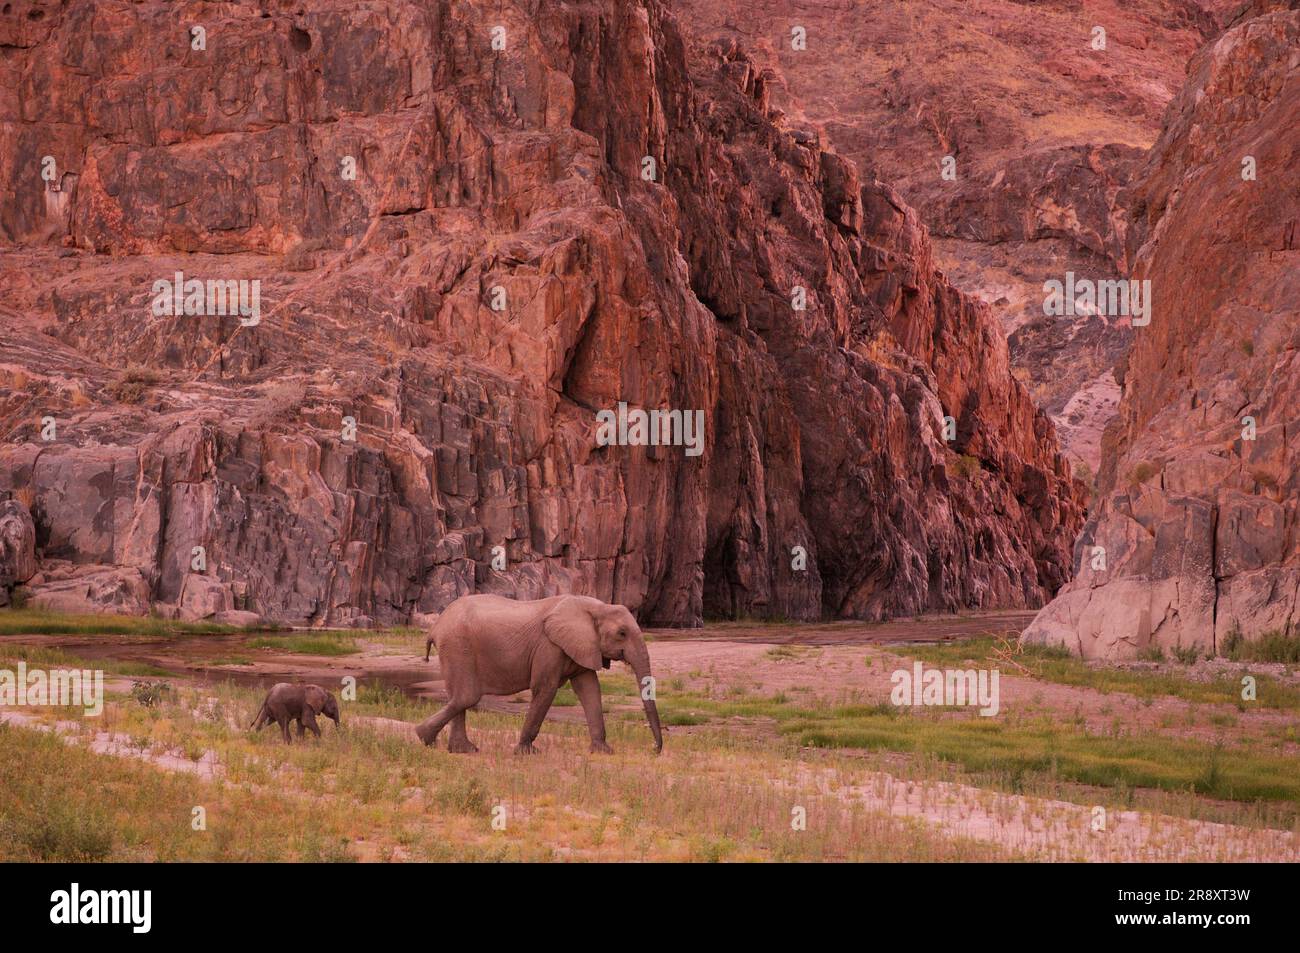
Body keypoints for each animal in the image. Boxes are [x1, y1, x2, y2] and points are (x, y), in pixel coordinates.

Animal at [413, 590, 660, 754]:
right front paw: (526, 752)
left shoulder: (582, 646)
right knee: (467, 695)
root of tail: (435, 627)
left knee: (458, 696)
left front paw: (603, 751)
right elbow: (545, 688)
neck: (597, 606)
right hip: (458, 645)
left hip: (455, 648)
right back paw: (423, 737)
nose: (654, 749)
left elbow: (590, 689)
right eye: (622, 633)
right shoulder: (548, 646)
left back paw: (461, 749)